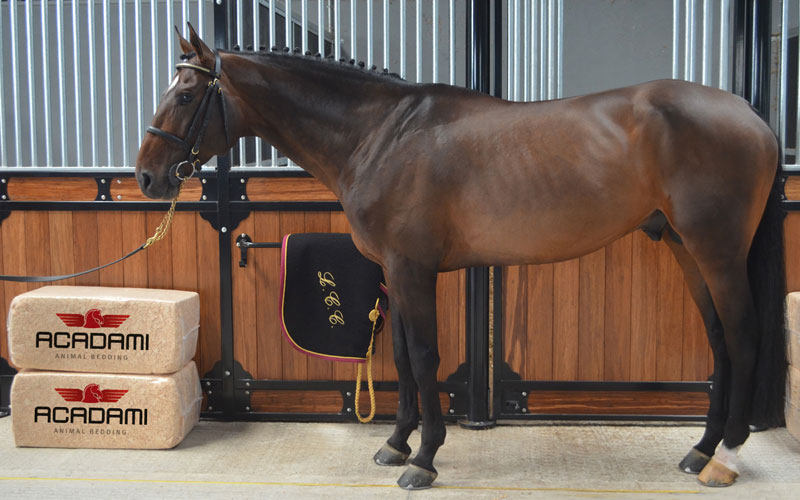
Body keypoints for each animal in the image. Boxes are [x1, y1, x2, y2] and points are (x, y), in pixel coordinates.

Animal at [136, 23, 788, 488]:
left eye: (186, 94)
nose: (146, 177)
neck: (382, 135)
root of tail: (750, 115)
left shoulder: (413, 269)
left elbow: (425, 358)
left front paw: (423, 458)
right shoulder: (393, 272)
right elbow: (400, 357)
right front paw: (395, 442)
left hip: (716, 249)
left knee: (743, 335)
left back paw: (727, 456)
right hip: (685, 247)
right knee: (720, 341)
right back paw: (700, 450)